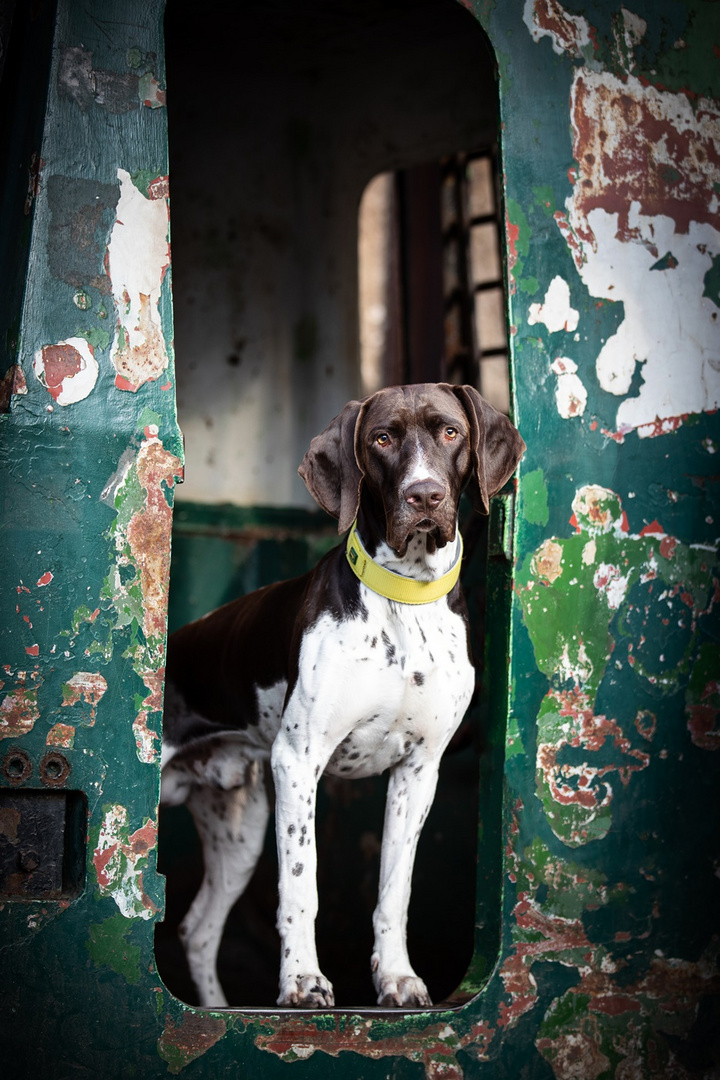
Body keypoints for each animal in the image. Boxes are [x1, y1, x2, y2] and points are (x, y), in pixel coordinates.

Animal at [160, 386, 526, 1010]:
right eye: (381, 439)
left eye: (451, 432)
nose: (424, 494)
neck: (404, 601)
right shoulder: (298, 763)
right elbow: (300, 887)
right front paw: (302, 981)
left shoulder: (419, 770)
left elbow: (395, 890)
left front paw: (397, 977)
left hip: (240, 830)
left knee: (199, 928)